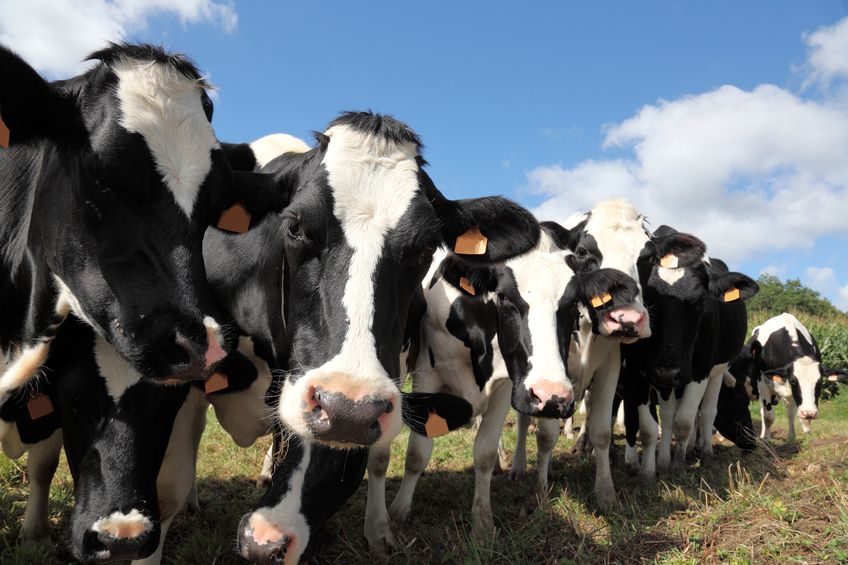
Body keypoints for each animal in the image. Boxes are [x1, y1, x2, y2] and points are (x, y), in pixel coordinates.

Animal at [728, 312, 848, 440]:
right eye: (793, 381)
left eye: (820, 381)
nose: (810, 412)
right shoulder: (763, 383)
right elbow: (768, 416)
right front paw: (767, 439)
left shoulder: (793, 393)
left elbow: (793, 415)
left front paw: (793, 438)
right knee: (763, 412)